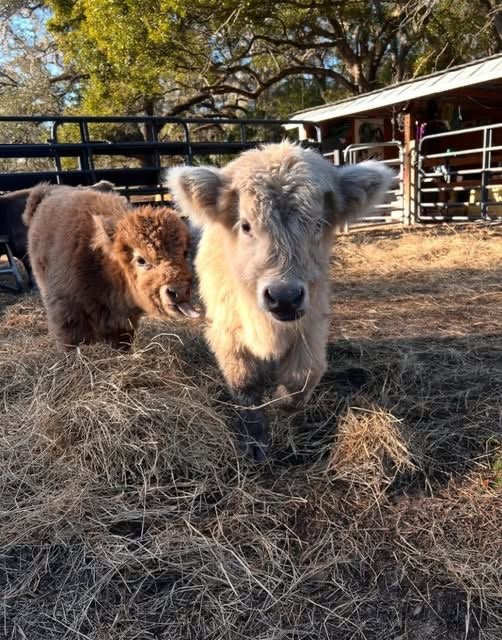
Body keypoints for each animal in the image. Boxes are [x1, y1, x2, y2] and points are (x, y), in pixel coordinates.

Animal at [24, 183, 199, 350]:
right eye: (141, 260)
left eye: (185, 253)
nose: (179, 291)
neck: (101, 262)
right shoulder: (67, 310)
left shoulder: (120, 319)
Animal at [167, 141, 394, 461]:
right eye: (245, 225)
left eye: (318, 224)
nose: (284, 297)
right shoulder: (226, 331)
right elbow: (245, 384)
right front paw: (255, 441)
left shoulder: (310, 325)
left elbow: (302, 378)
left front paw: (277, 404)